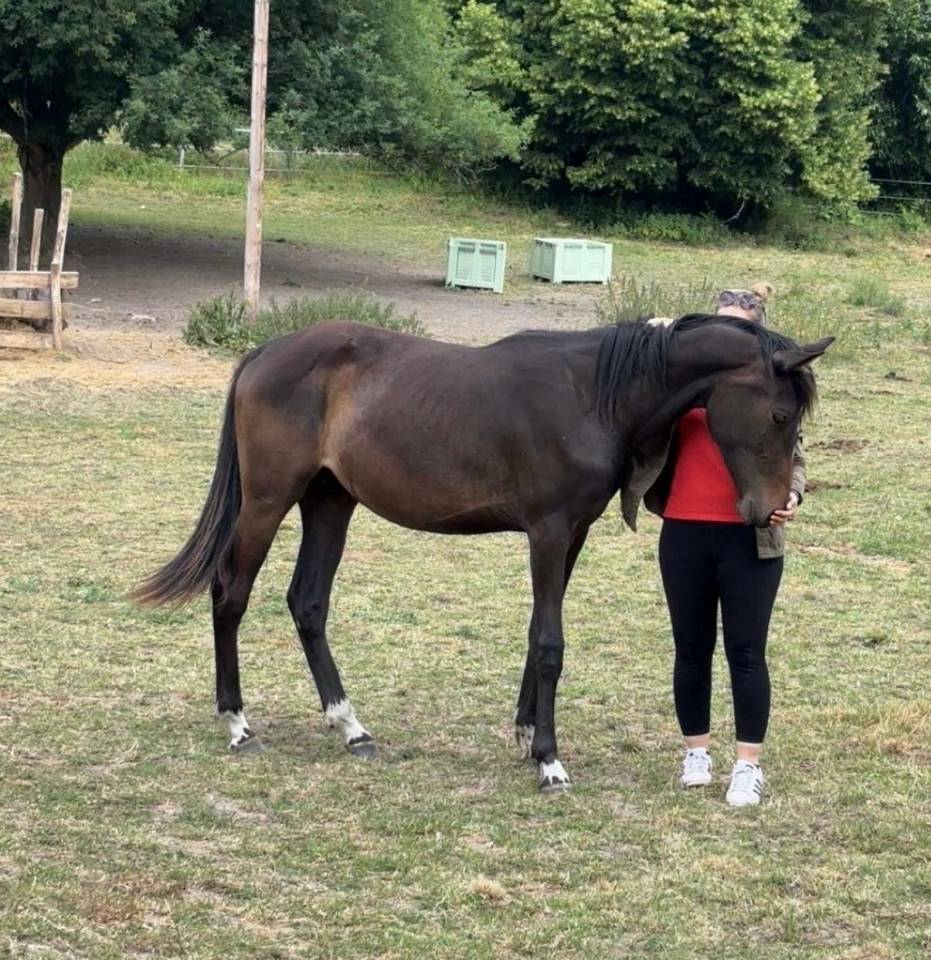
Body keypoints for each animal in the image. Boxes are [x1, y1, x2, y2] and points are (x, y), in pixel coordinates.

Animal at [133, 313, 832, 793]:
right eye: (779, 416)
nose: (769, 509)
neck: (593, 394)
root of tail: (265, 353)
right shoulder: (548, 531)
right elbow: (550, 642)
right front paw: (549, 761)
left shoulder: (571, 535)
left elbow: (536, 633)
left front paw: (525, 734)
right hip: (267, 501)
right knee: (231, 595)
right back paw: (238, 724)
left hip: (330, 503)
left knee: (307, 604)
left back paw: (351, 726)